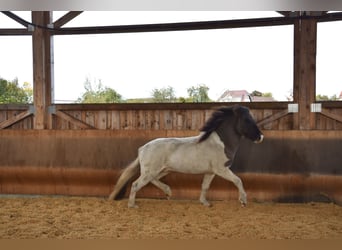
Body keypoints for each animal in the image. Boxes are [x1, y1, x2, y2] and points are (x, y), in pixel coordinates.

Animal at [108, 104, 264, 208]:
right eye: (247, 120)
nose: (260, 137)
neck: (220, 143)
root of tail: (142, 148)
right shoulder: (222, 169)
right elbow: (238, 180)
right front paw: (243, 201)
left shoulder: (211, 172)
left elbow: (205, 186)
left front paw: (205, 203)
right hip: (151, 171)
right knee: (136, 184)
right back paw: (132, 205)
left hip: (162, 170)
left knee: (153, 180)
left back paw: (168, 192)